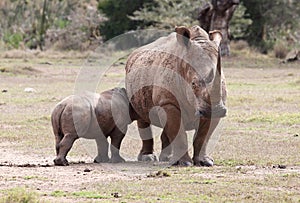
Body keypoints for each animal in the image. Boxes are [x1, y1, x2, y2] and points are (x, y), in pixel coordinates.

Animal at [125, 25, 227, 167]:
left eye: (222, 82)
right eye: (193, 84)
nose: (217, 110)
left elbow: (203, 136)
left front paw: (205, 162)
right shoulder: (168, 102)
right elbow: (178, 132)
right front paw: (185, 163)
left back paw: (167, 158)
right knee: (143, 117)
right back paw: (149, 158)